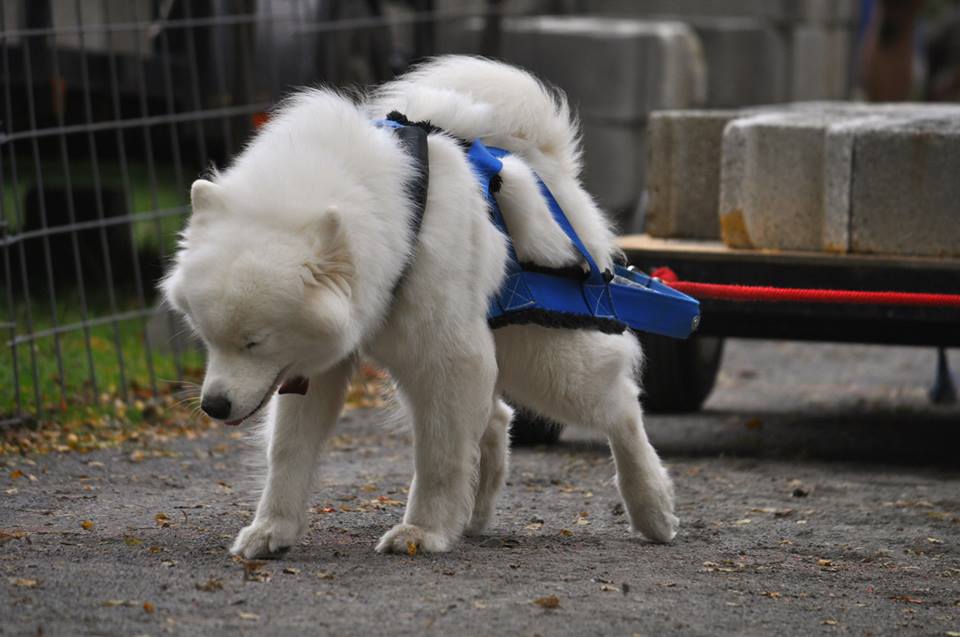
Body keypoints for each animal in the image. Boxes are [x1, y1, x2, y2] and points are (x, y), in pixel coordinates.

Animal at [163, 58, 676, 556]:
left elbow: (440, 458)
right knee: (497, 420)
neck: (397, 214)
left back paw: (652, 508)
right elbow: (289, 452)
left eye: (255, 342)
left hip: (542, 358)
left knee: (620, 406)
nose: (213, 406)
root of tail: (548, 160)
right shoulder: (311, 368)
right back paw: (474, 515)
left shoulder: (445, 358)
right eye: (207, 339)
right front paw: (272, 530)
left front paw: (423, 532)